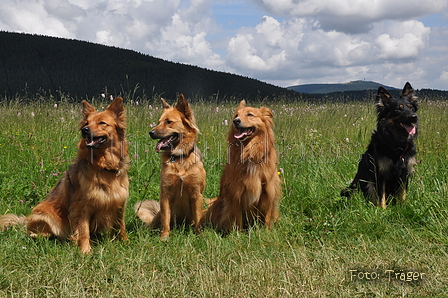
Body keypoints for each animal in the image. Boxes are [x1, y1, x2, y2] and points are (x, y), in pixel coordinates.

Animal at [0, 98, 130, 254]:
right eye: (86, 123)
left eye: (102, 123)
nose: (84, 130)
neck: (104, 166)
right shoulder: (81, 206)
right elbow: (84, 230)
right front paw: (85, 251)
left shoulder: (119, 201)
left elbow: (121, 226)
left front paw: (125, 243)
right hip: (45, 214)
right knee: (37, 232)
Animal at [134, 95, 206, 240]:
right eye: (159, 122)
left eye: (168, 122)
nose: (151, 132)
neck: (179, 158)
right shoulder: (165, 193)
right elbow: (166, 219)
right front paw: (165, 237)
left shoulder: (197, 194)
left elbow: (198, 217)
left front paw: (199, 235)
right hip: (158, 215)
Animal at [201, 101, 282, 232]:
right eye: (236, 115)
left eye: (250, 114)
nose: (236, 121)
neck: (249, 152)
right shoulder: (236, 192)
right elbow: (237, 217)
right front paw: (238, 233)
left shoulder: (269, 191)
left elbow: (267, 216)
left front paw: (267, 232)